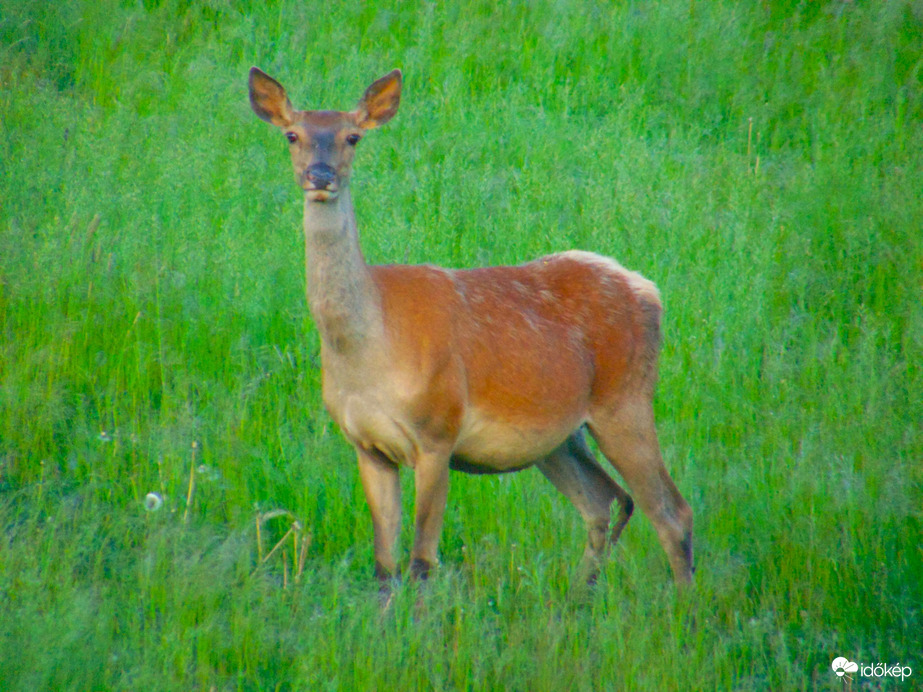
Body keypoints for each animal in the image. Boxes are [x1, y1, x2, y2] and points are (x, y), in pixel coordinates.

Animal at [245, 67, 692, 588]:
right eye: (292, 135)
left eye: (352, 137)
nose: (320, 176)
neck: (367, 350)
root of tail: (648, 290)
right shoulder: (367, 445)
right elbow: (384, 566)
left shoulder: (438, 432)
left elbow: (422, 562)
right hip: (559, 436)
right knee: (609, 502)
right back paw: (577, 597)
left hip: (626, 400)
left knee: (671, 511)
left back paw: (684, 603)